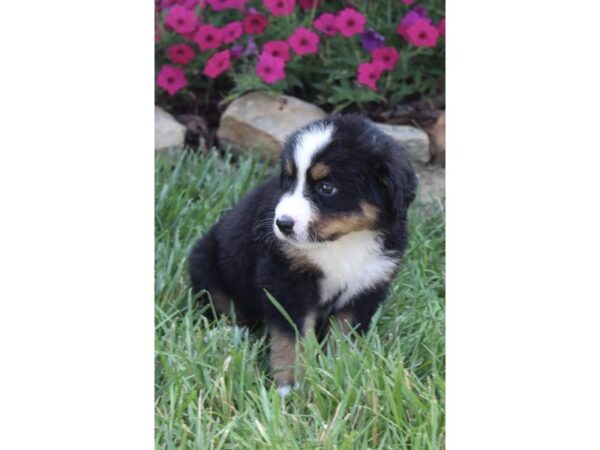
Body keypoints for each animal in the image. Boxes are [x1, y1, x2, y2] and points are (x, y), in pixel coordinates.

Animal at [190, 114, 414, 396]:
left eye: (327, 188)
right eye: (288, 181)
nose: (282, 224)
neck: (343, 242)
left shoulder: (367, 285)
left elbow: (343, 336)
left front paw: (339, 373)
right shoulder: (286, 278)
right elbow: (291, 339)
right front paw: (291, 385)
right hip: (205, 263)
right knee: (229, 311)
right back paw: (223, 335)